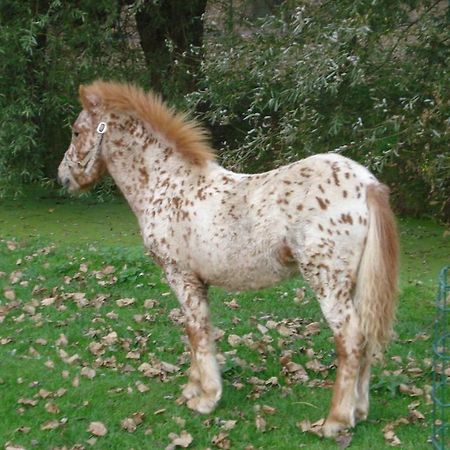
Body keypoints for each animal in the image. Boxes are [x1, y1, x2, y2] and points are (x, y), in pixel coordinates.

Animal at [58, 80, 400, 436]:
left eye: (76, 131)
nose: (63, 177)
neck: (167, 183)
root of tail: (368, 184)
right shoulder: (198, 282)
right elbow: (199, 330)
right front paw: (193, 389)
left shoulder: (180, 276)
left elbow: (196, 331)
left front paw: (206, 398)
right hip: (356, 284)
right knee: (366, 339)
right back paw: (359, 411)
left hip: (328, 282)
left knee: (351, 340)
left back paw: (336, 420)